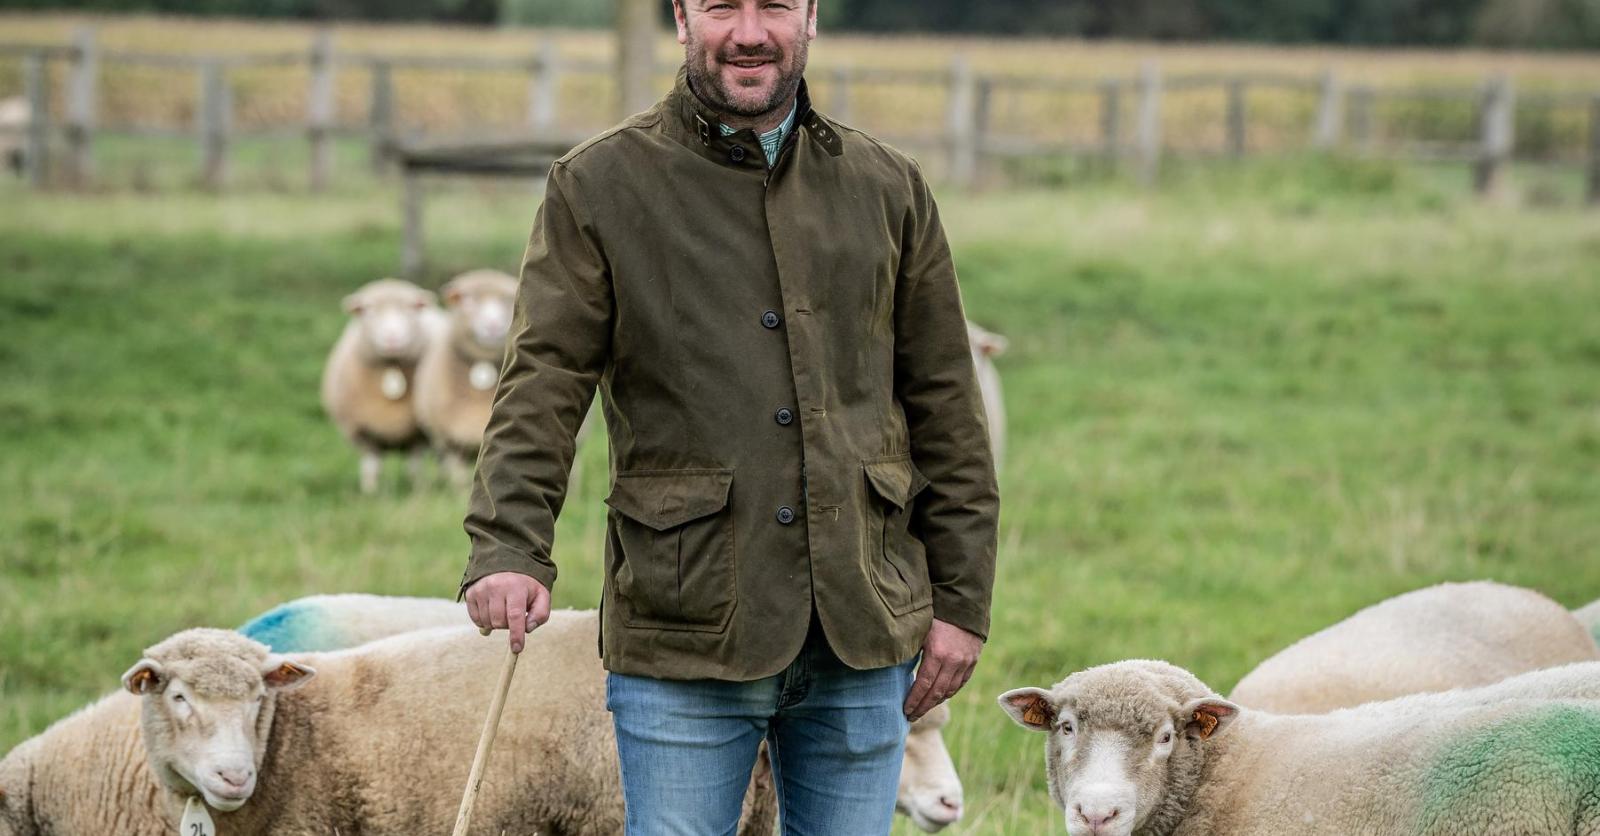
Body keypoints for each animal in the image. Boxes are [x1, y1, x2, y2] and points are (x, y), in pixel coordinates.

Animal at [318, 277, 444, 490]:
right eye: (368, 309)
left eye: (410, 307)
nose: (392, 337)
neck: (391, 366)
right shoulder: (363, 433)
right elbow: (372, 466)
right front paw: (370, 492)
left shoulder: (418, 435)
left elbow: (415, 467)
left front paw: (418, 489)